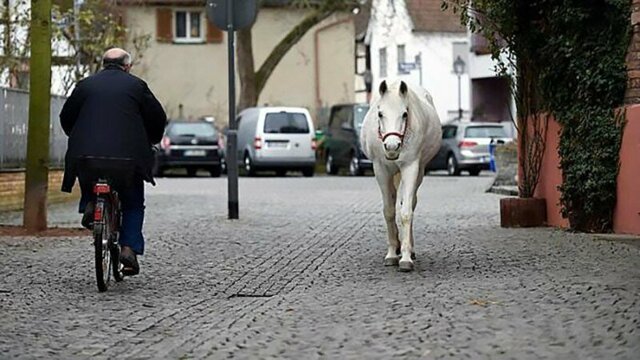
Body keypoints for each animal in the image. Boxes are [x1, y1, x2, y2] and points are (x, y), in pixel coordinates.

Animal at [362, 79, 442, 270]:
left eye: (405, 114)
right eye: (380, 114)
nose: (392, 146)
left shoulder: (411, 167)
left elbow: (406, 212)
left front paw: (405, 257)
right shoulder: (380, 169)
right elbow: (389, 211)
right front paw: (392, 253)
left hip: (419, 171)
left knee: (410, 203)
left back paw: (409, 249)